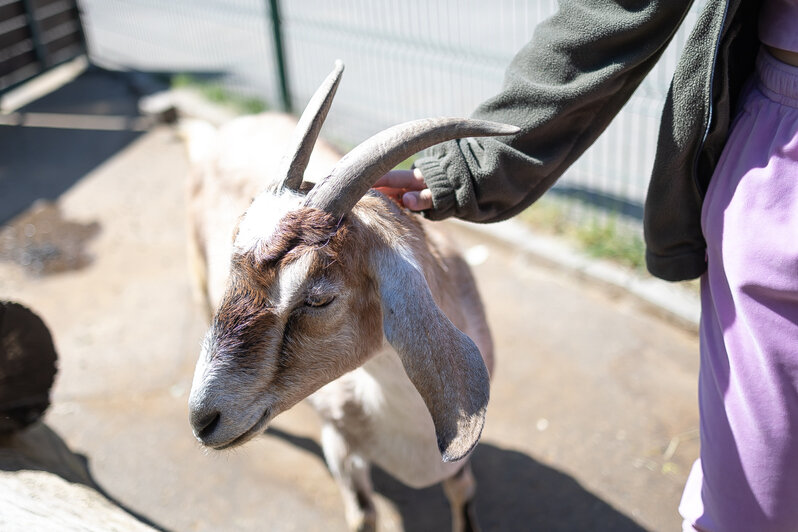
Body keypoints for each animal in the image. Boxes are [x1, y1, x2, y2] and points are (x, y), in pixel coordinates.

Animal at [183, 63, 520, 532]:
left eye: (318, 299)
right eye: (231, 270)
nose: (202, 419)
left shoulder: (457, 469)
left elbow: (462, 494)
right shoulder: (339, 444)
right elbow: (363, 514)